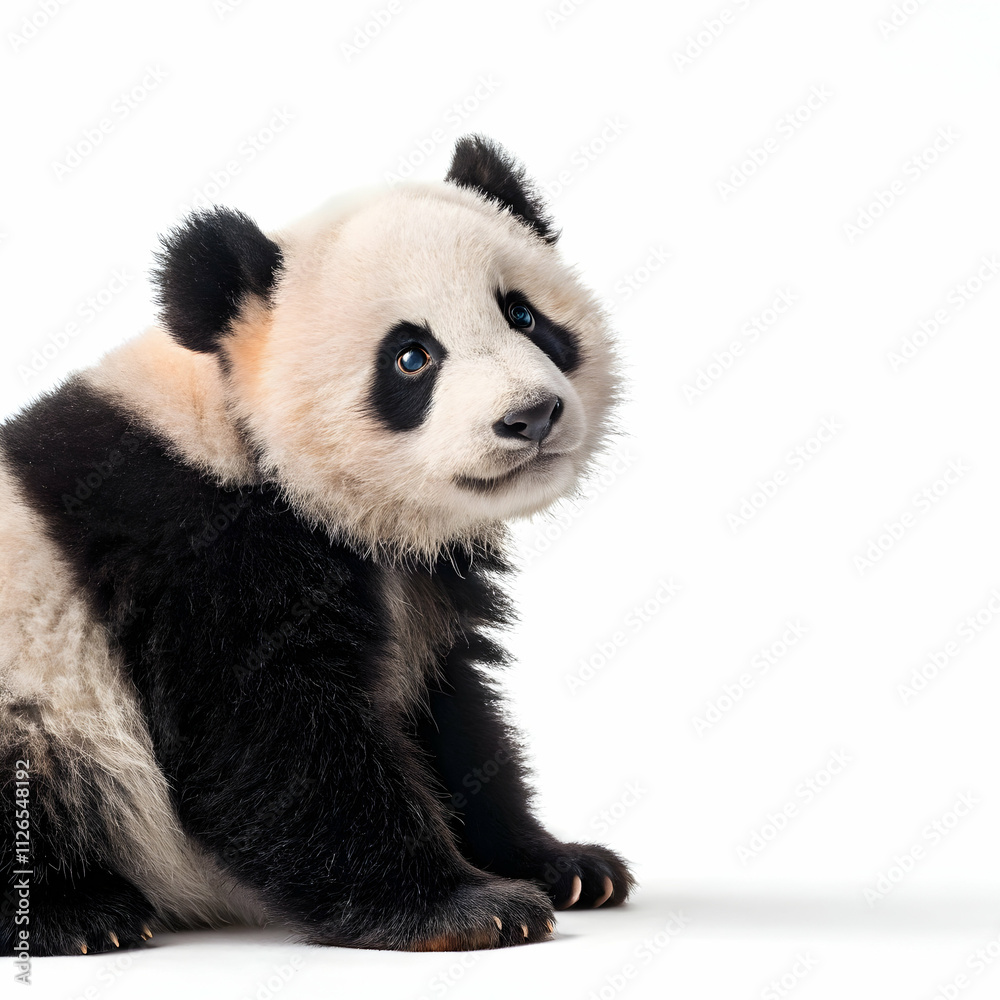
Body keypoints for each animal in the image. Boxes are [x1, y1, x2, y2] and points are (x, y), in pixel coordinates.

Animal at [0, 135, 634, 957]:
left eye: (523, 315)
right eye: (411, 357)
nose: (531, 416)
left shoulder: (422, 585)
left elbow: (451, 718)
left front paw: (562, 864)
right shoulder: (194, 552)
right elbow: (269, 739)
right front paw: (463, 908)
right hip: (38, 707)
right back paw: (79, 913)